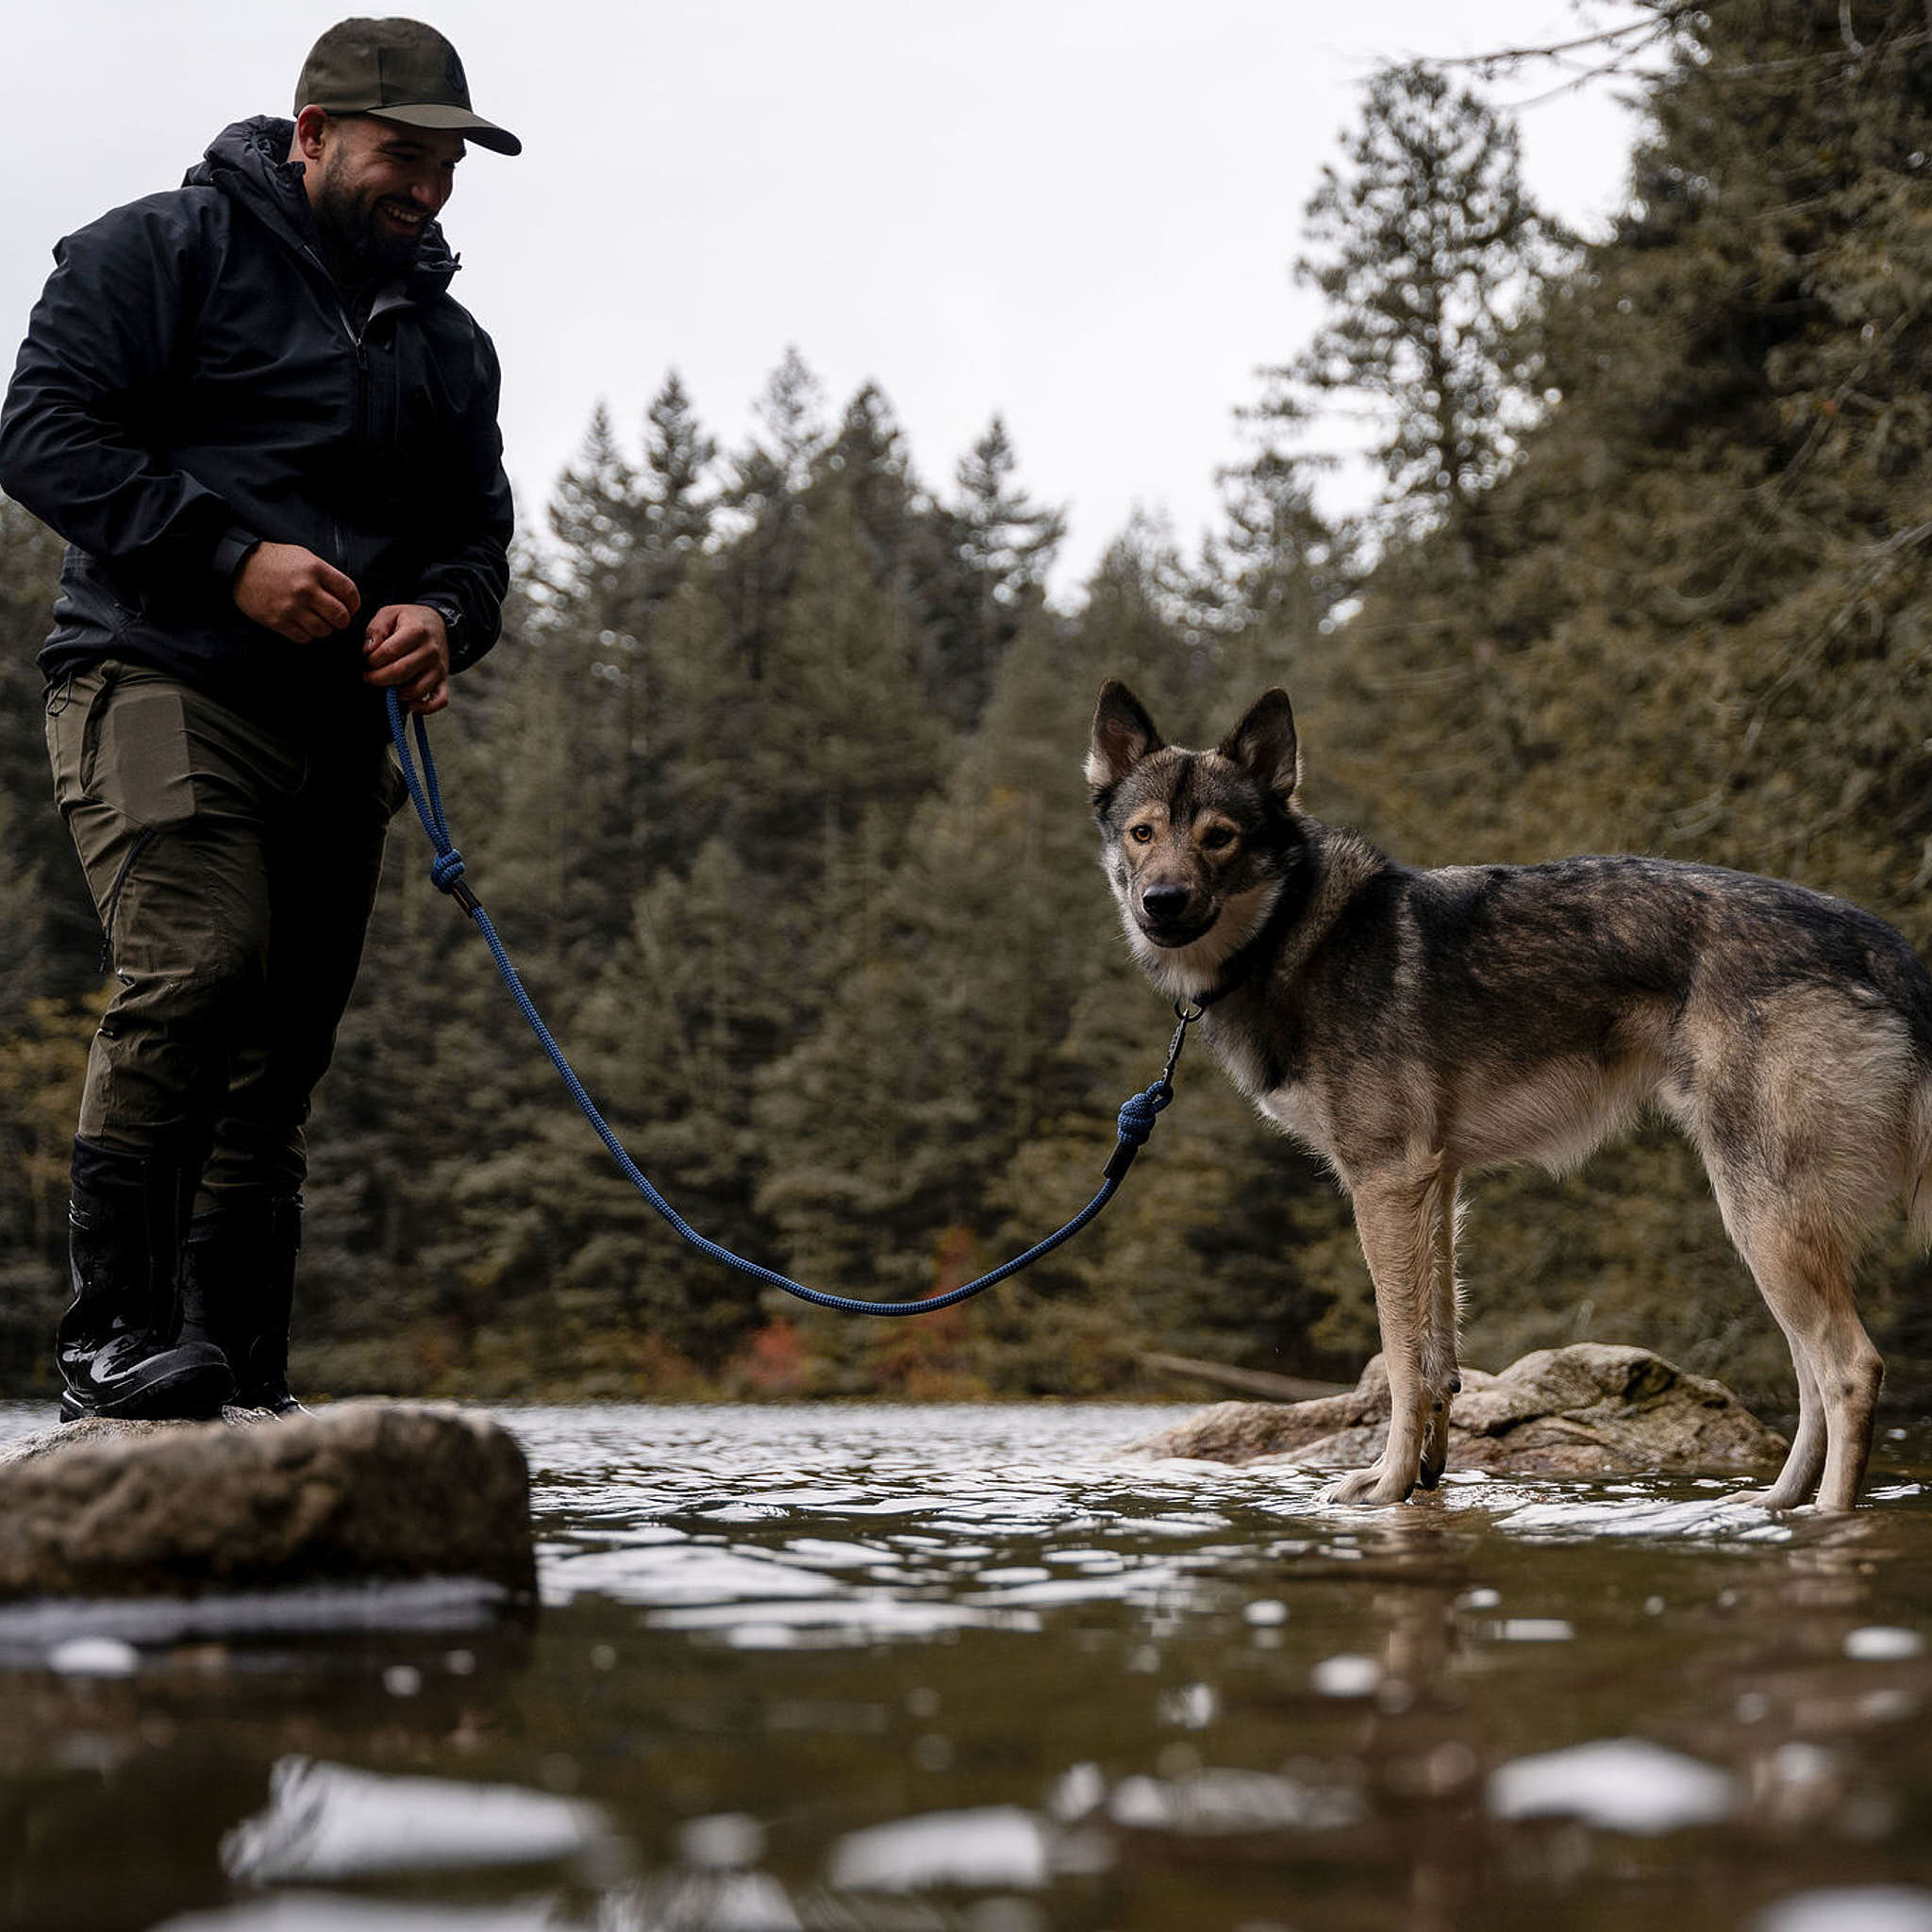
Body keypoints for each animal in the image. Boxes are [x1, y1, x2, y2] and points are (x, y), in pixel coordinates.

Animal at [1090, 679, 1932, 1507]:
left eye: (1219, 837)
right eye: (1143, 833)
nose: (1161, 901)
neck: (1293, 933)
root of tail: (1885, 946)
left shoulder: (1384, 1182)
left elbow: (1401, 1361)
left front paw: (1385, 1486)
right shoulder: (1434, 1185)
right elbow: (1437, 1363)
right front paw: (1422, 1478)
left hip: (1762, 1217)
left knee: (1850, 1371)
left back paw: (1827, 1515)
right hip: (1767, 1228)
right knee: (1810, 1379)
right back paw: (1768, 1507)